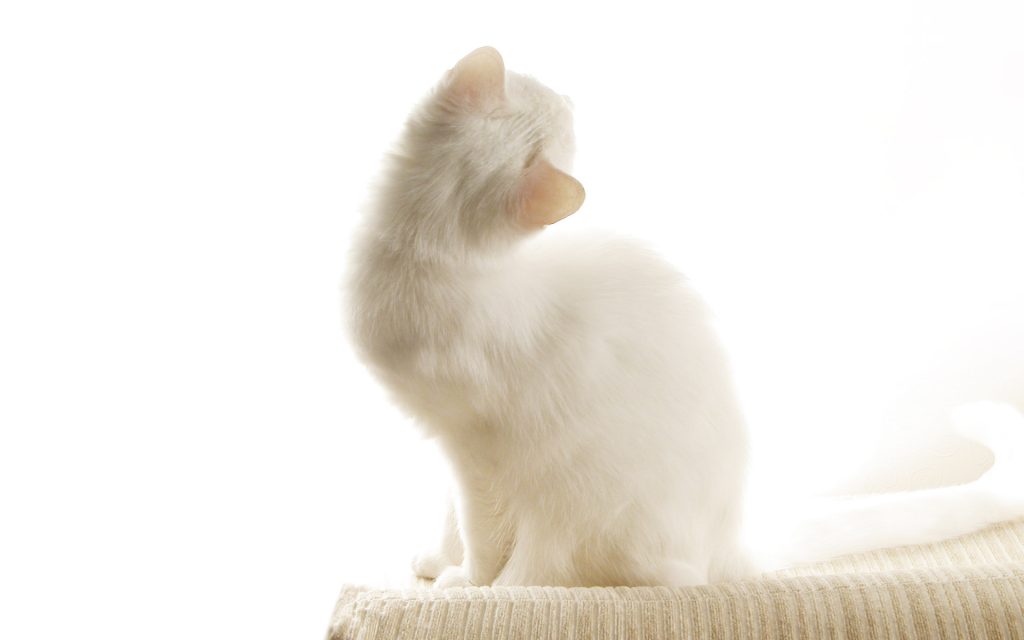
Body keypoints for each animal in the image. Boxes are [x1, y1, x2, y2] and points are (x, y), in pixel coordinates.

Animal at [348, 43, 1024, 585]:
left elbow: (481, 536)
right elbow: (450, 520)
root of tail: (730, 546)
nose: (572, 95)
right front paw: (437, 563)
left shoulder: (477, 451)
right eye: (554, 103)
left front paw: (469, 584)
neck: (419, 256)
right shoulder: (449, 444)